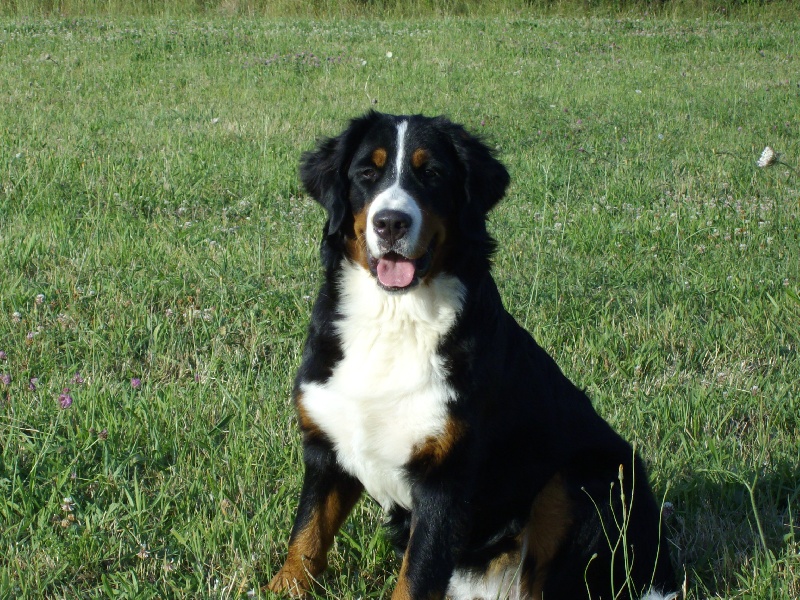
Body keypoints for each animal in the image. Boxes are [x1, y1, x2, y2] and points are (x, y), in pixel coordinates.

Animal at [268, 112, 676, 600]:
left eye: (432, 174)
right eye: (367, 173)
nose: (390, 223)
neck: (394, 318)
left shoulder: (446, 479)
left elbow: (415, 577)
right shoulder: (326, 449)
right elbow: (306, 538)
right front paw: (281, 587)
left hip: (587, 481)